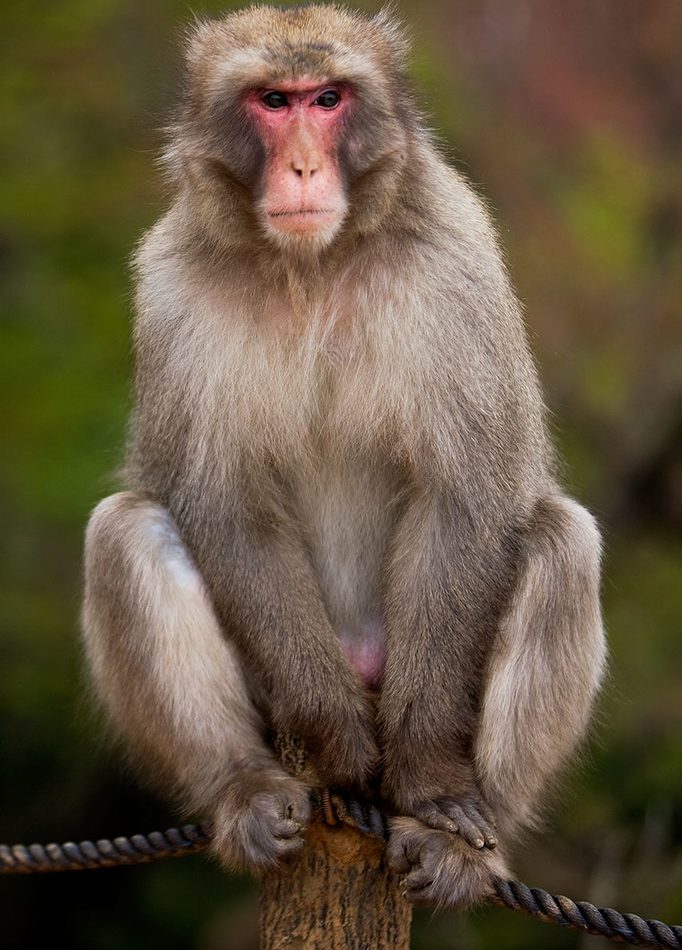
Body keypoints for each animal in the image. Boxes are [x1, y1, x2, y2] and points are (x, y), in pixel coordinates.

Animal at [82, 4, 606, 908]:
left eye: (327, 99)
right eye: (273, 100)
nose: (301, 164)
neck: (314, 266)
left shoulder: (454, 259)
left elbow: (465, 498)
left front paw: (430, 782)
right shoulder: (172, 288)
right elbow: (226, 509)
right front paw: (339, 746)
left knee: (561, 540)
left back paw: (467, 838)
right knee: (124, 531)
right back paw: (246, 789)